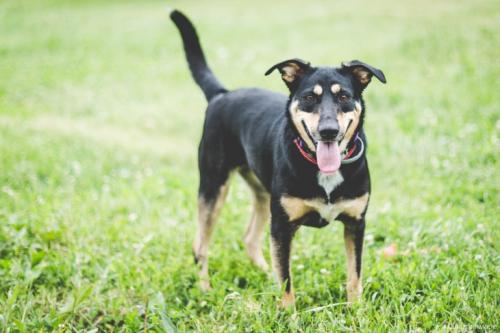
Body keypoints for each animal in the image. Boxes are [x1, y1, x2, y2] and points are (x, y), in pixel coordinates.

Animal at [172, 10, 386, 306]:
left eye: (344, 96)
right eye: (309, 97)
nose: (328, 131)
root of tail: (222, 94)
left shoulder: (356, 223)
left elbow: (354, 276)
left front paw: (357, 310)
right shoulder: (282, 226)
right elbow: (286, 280)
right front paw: (288, 312)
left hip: (262, 192)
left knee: (250, 239)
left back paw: (262, 273)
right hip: (213, 186)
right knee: (200, 245)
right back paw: (205, 290)